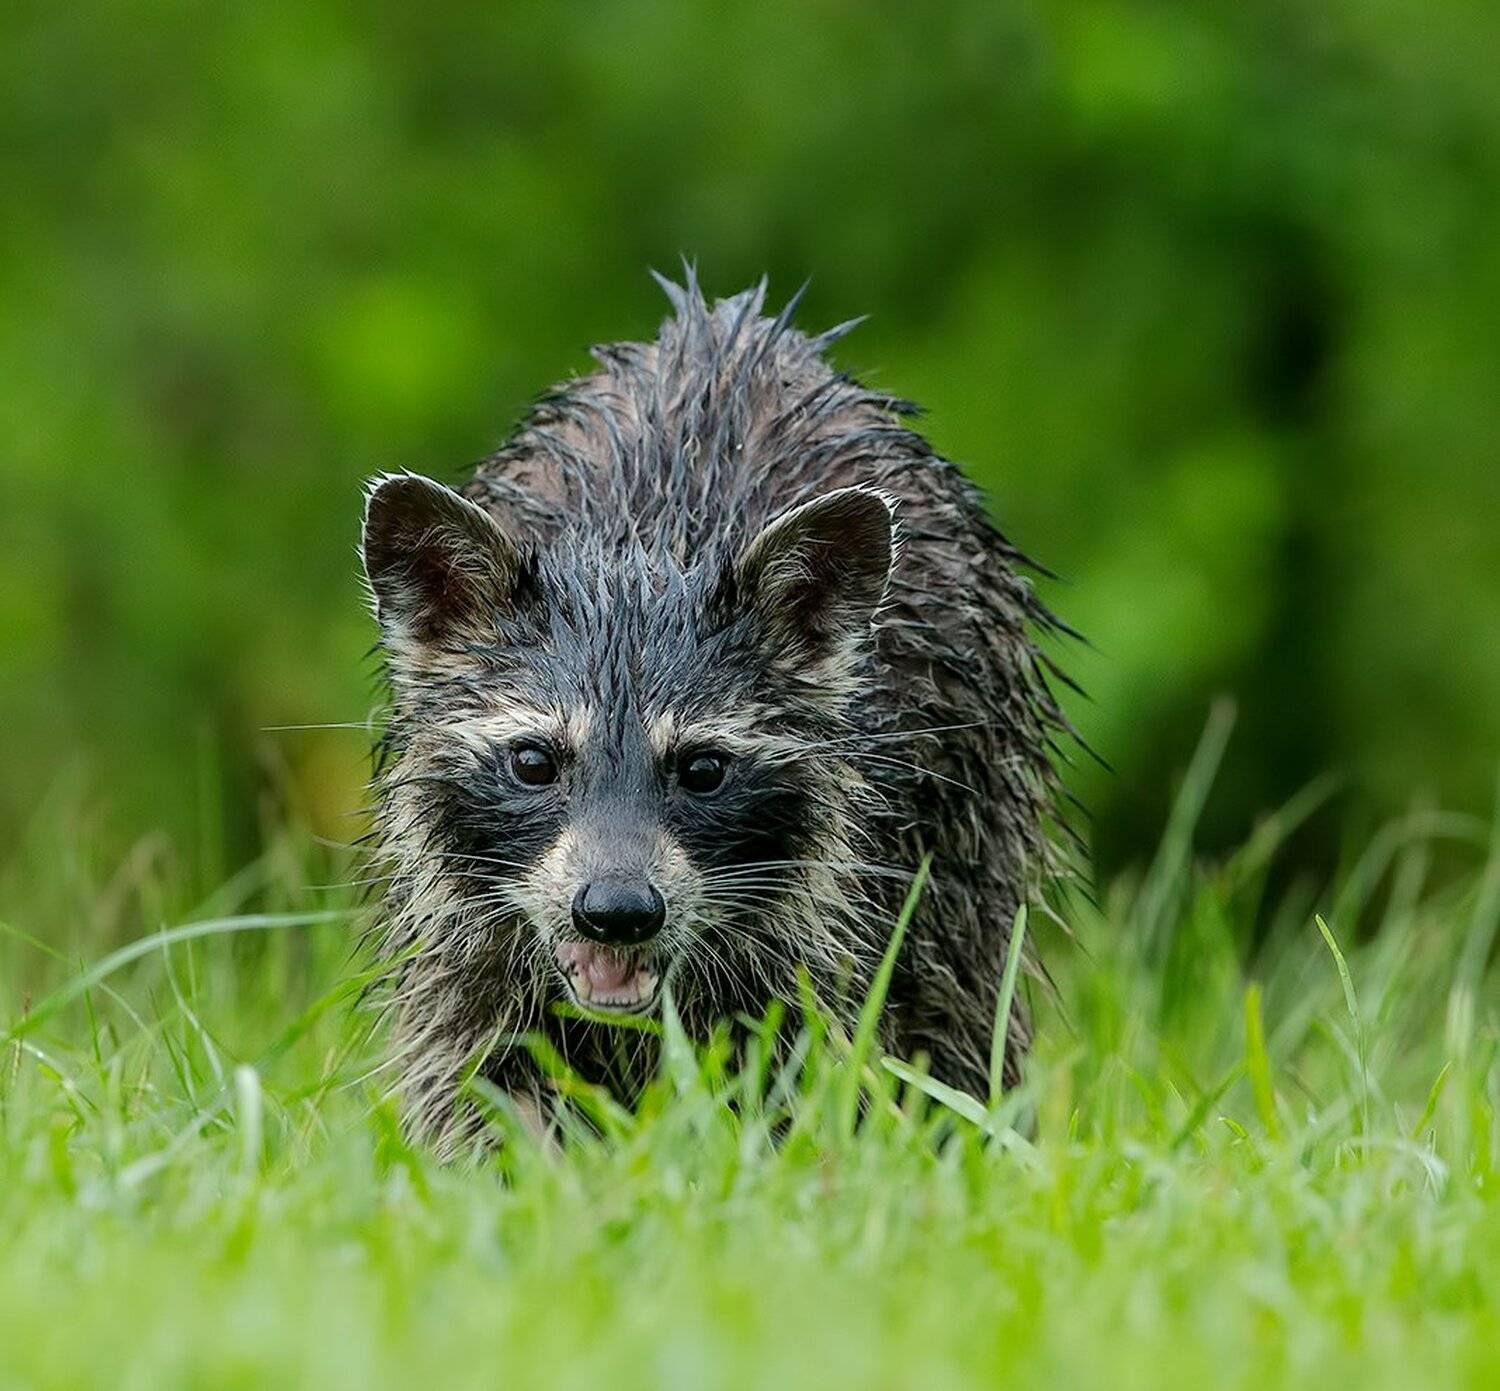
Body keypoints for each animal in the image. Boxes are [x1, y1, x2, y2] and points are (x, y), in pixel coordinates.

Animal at [360, 274, 1073, 1148]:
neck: (645, 553)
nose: (617, 911)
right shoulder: (466, 945)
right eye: (534, 761)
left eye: (703, 768)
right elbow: (478, 1071)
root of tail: (730, 325)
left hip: (972, 821)